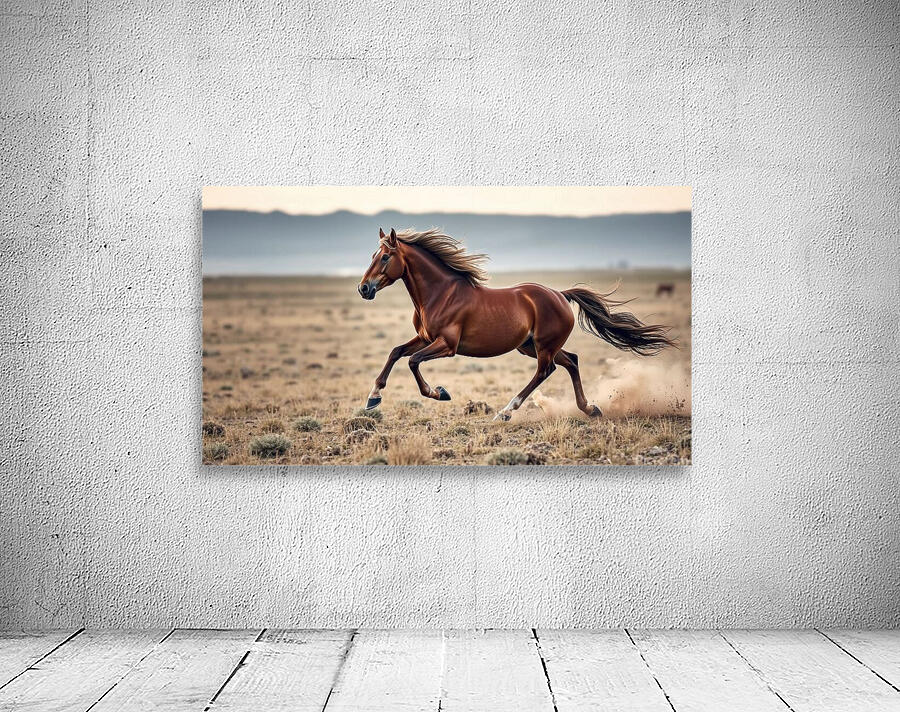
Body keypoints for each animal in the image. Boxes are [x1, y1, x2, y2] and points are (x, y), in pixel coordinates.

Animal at [358, 227, 675, 421]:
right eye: (373, 255)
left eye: (385, 257)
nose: (363, 289)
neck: (440, 293)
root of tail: (560, 294)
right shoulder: (424, 338)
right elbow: (396, 352)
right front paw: (373, 398)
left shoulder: (447, 345)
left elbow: (413, 362)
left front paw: (440, 393)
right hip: (531, 346)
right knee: (571, 361)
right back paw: (590, 408)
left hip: (542, 346)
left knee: (545, 371)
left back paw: (506, 412)